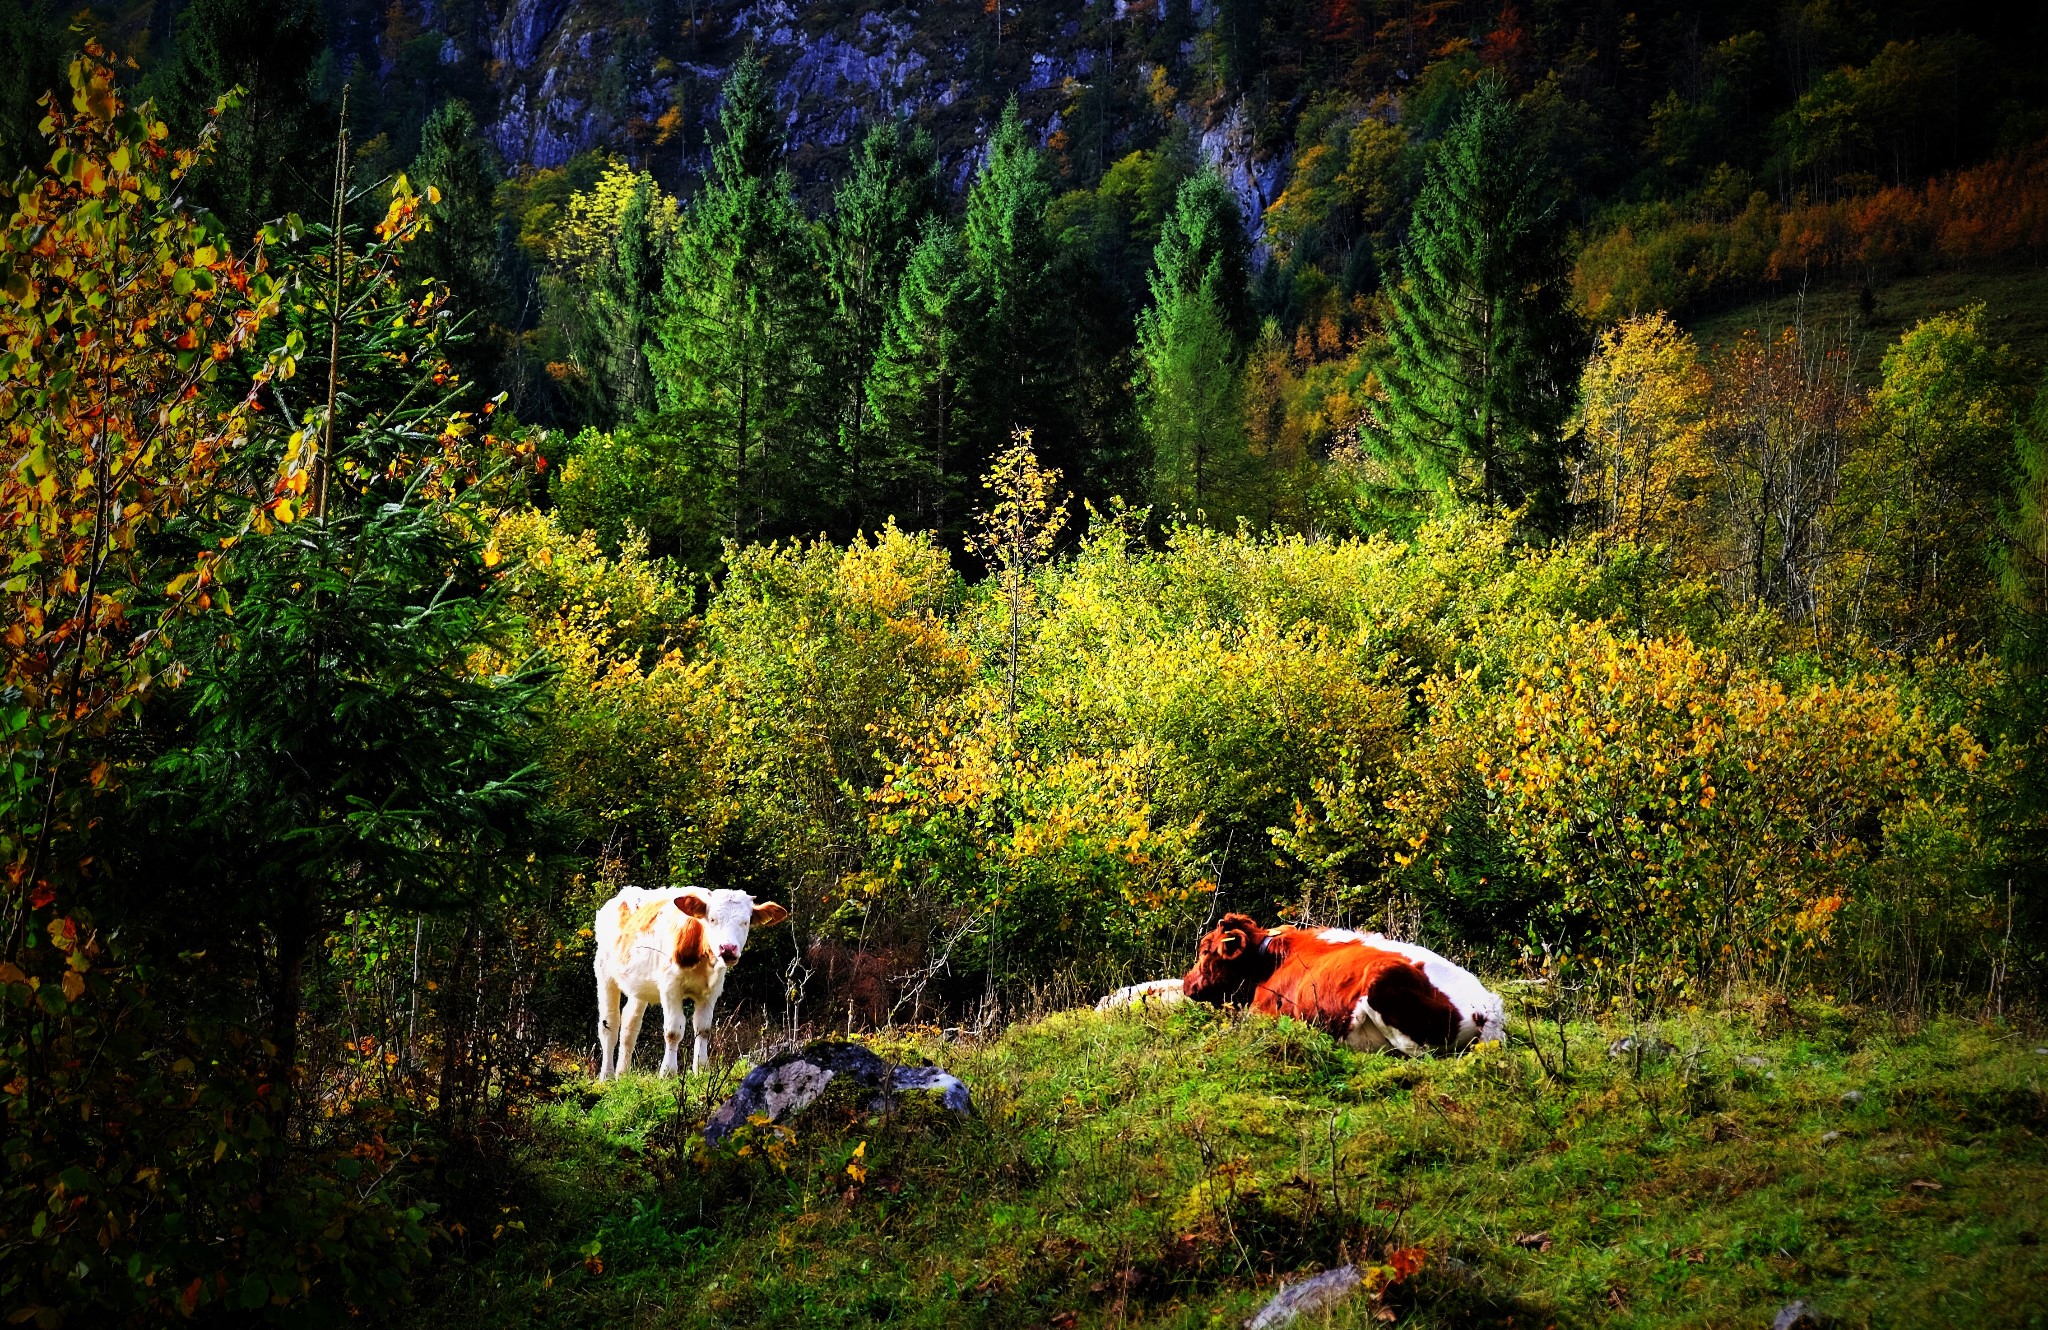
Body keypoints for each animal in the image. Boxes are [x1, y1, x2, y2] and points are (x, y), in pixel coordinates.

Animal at [598, 881, 786, 1082]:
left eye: (746, 922)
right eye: (712, 919)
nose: (728, 948)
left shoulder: (712, 991)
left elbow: (703, 1029)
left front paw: (702, 1069)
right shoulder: (670, 987)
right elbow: (673, 1031)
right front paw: (668, 1072)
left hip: (639, 986)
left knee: (630, 1025)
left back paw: (622, 1074)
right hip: (604, 972)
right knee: (609, 1024)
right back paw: (606, 1075)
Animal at [1179, 913, 1499, 1049]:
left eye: (1205, 950)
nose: (1186, 982)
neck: (1271, 961)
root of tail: (1486, 1007)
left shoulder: (1264, 1015)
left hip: (1381, 980)